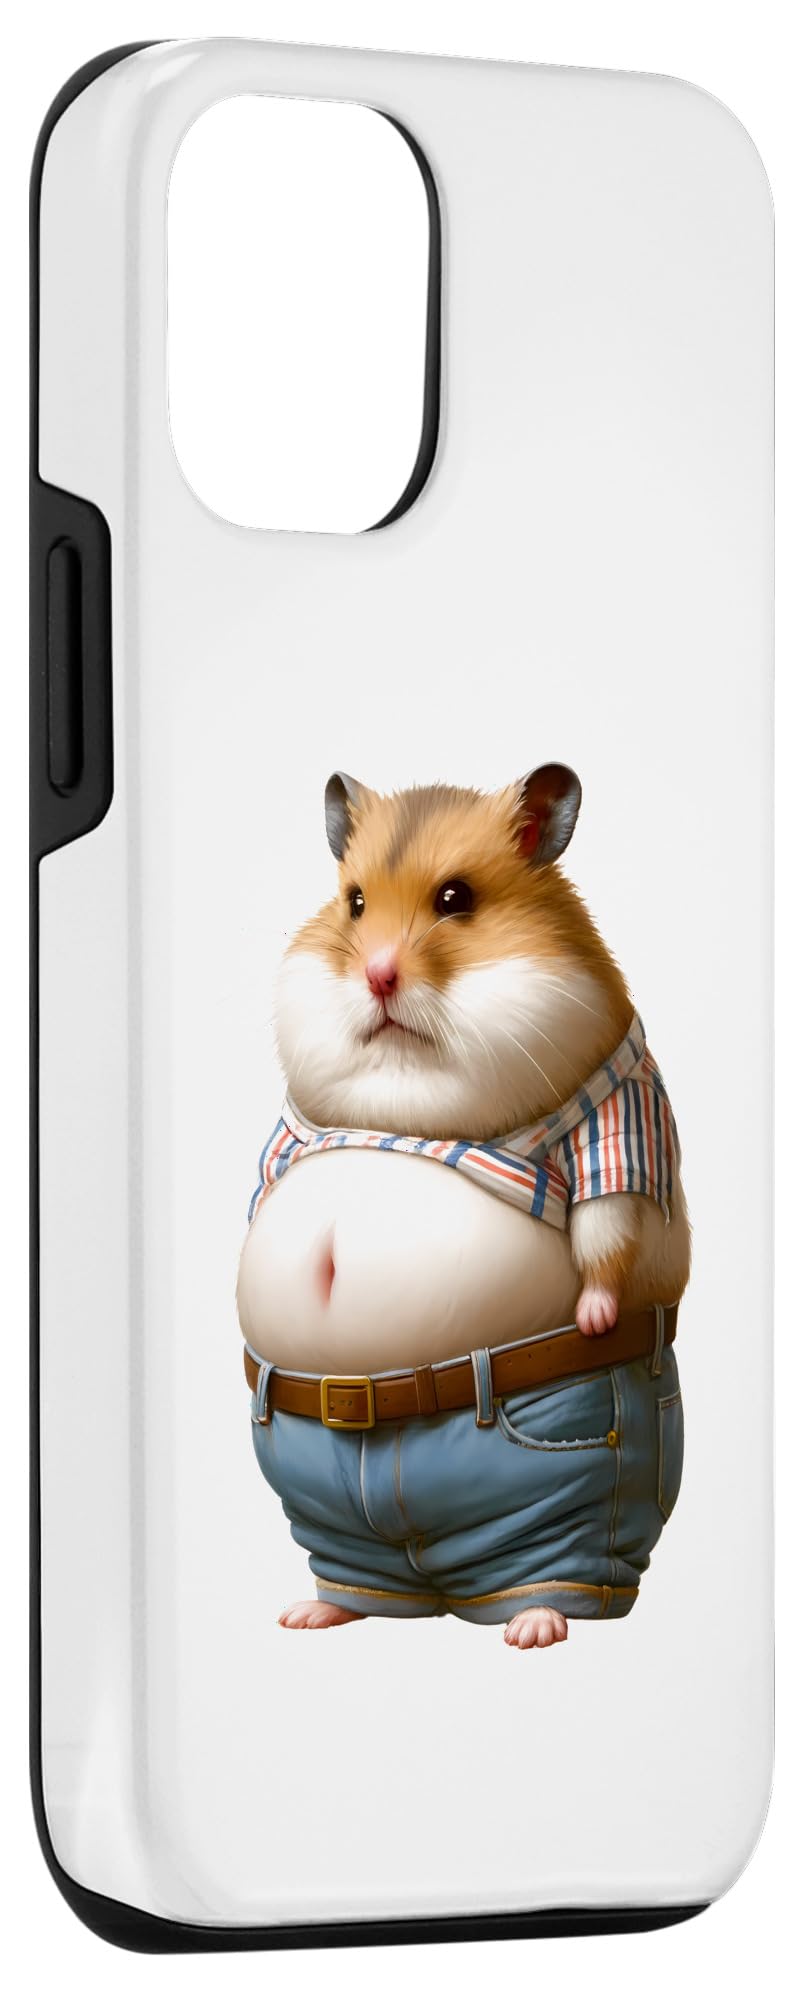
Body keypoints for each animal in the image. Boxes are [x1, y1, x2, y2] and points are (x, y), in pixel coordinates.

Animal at [237, 765, 691, 1375]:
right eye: (355, 903)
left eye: (456, 898)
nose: (377, 976)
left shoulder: (620, 1108)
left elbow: (606, 1209)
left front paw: (596, 1321)